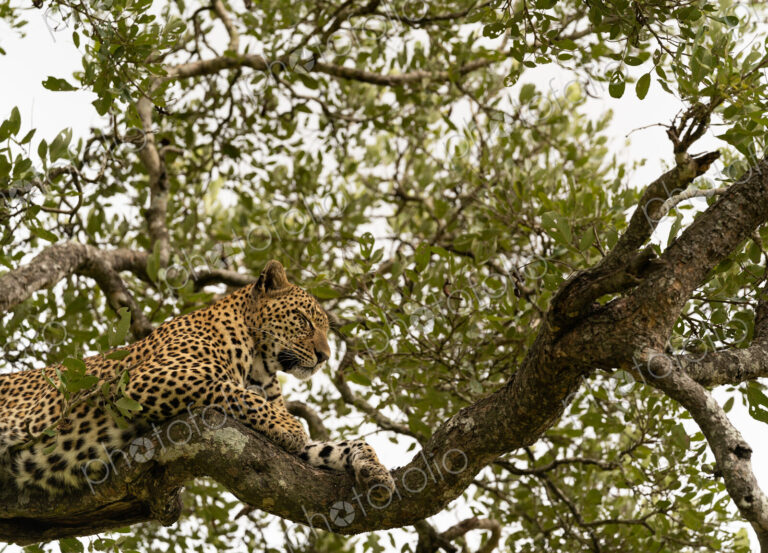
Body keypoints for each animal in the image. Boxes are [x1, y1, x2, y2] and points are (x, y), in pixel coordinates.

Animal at [0, 260, 395, 501]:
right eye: (303, 320)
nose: (325, 356)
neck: (261, 365)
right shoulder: (143, 380)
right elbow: (229, 388)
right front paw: (289, 425)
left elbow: (334, 446)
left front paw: (375, 469)